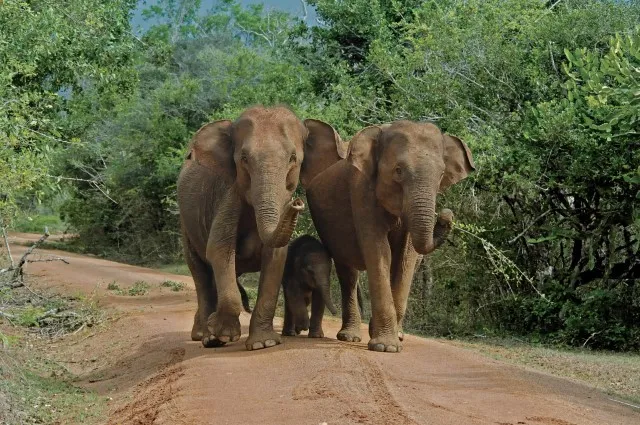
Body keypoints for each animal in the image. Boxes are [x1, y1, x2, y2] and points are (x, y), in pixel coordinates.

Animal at [178, 107, 332, 352]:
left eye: (293, 158)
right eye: (243, 159)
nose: (297, 203)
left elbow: (276, 256)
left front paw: (263, 343)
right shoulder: (228, 195)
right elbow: (219, 250)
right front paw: (222, 335)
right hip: (185, 224)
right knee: (200, 271)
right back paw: (204, 335)